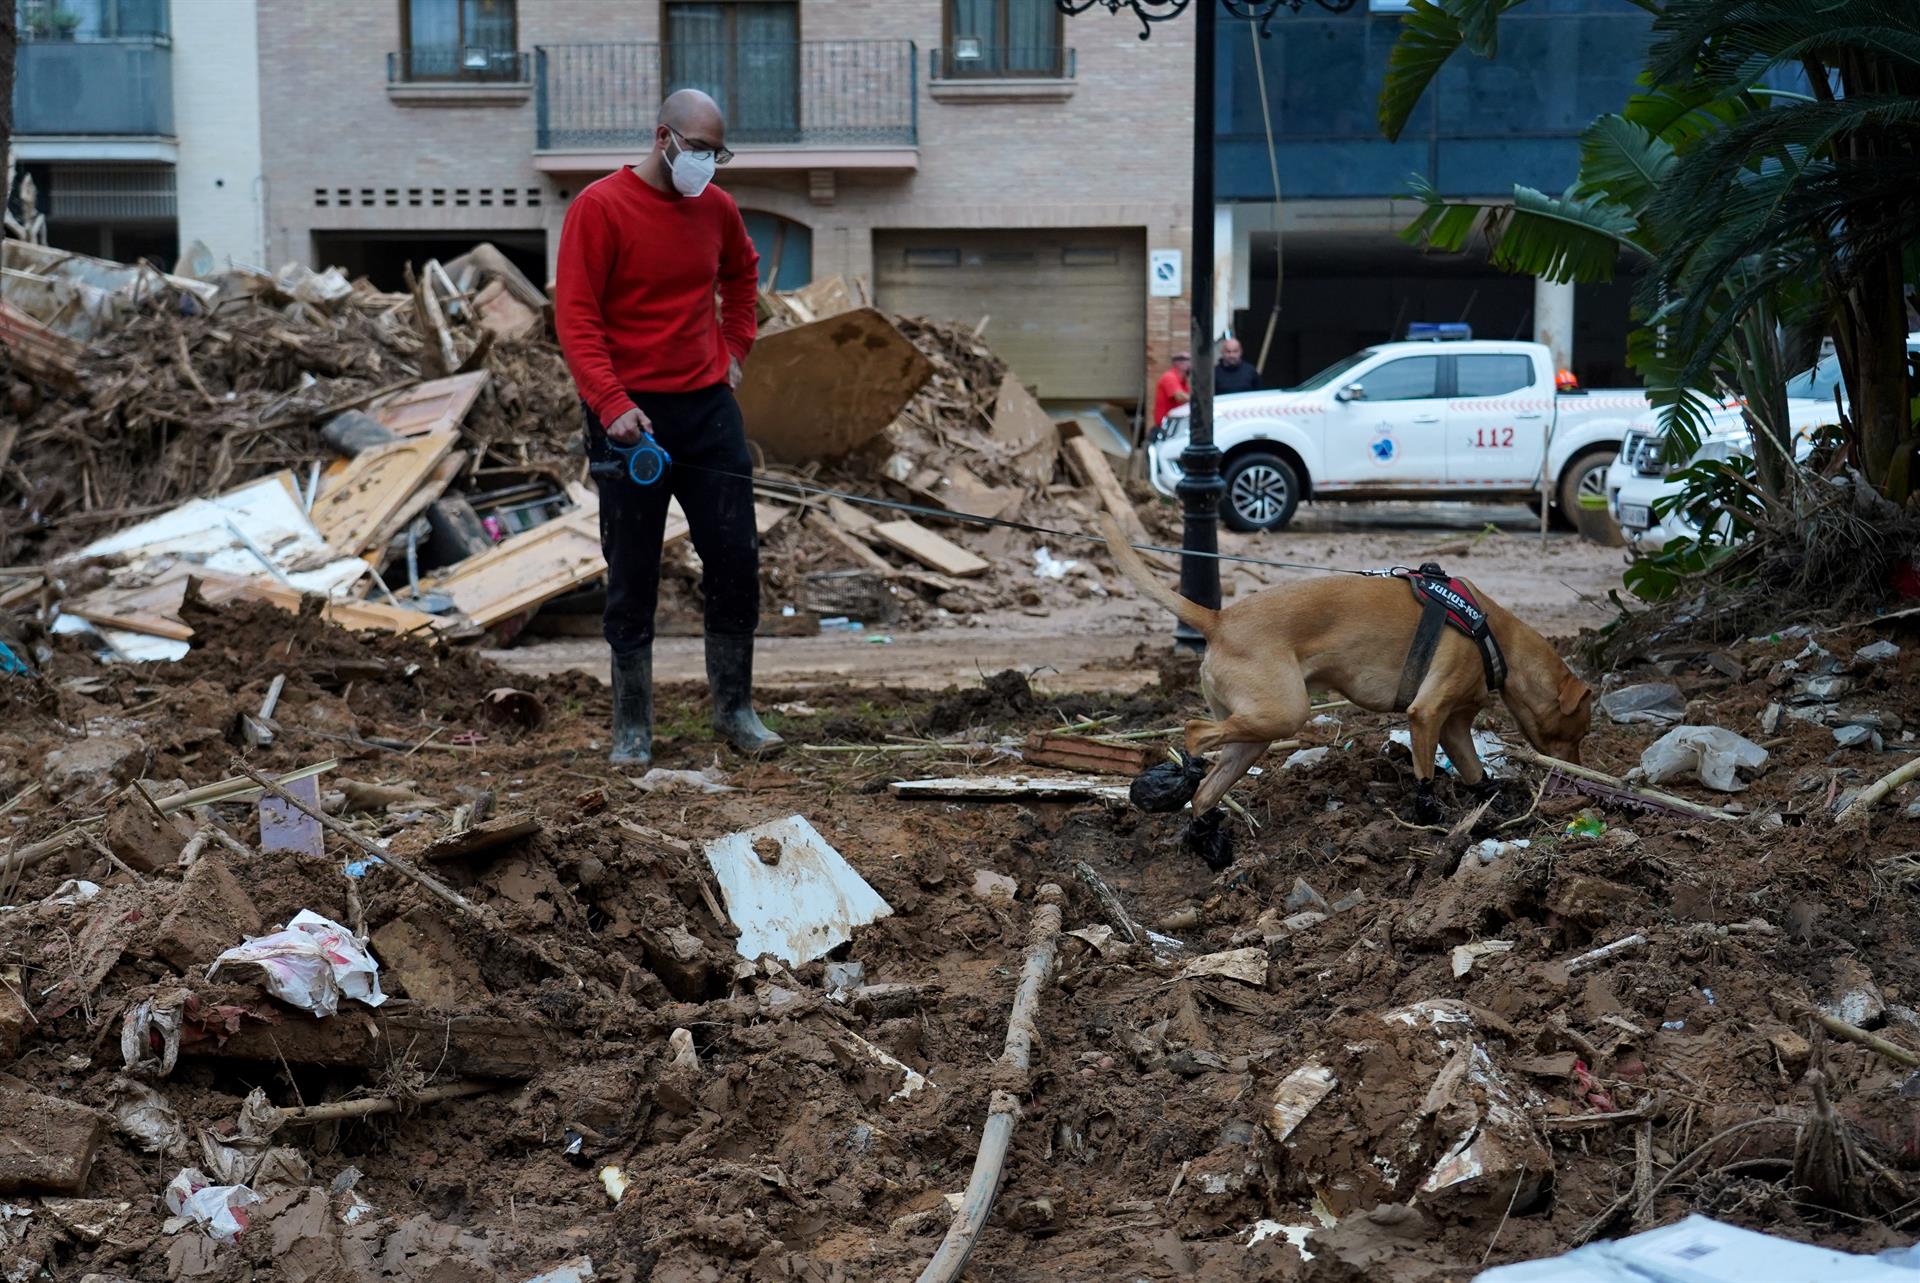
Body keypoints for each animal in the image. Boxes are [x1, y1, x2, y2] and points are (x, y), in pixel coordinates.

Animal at [1105, 514, 1597, 822]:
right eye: (1579, 732)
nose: (1576, 777)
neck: (1493, 634)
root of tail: (1218, 619)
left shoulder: (1456, 726)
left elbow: (1476, 773)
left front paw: (1495, 802)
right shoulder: (1426, 714)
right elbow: (1424, 775)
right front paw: (1429, 813)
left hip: (1256, 733)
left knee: (1207, 792)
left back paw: (1209, 841)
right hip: (1282, 713)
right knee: (1193, 733)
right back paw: (1180, 777)